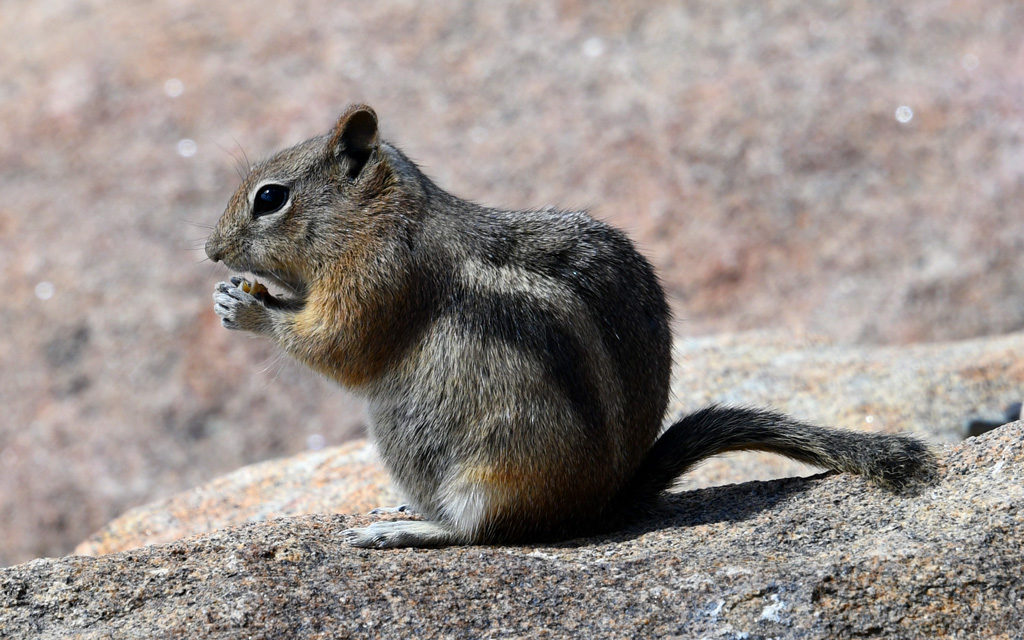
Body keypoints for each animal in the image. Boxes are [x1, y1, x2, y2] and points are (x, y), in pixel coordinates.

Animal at [205, 104, 937, 548]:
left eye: (270, 198)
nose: (211, 252)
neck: (378, 215)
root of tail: (600, 507)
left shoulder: (382, 278)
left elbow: (341, 345)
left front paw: (246, 308)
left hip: (485, 462)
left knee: (485, 532)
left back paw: (409, 531)